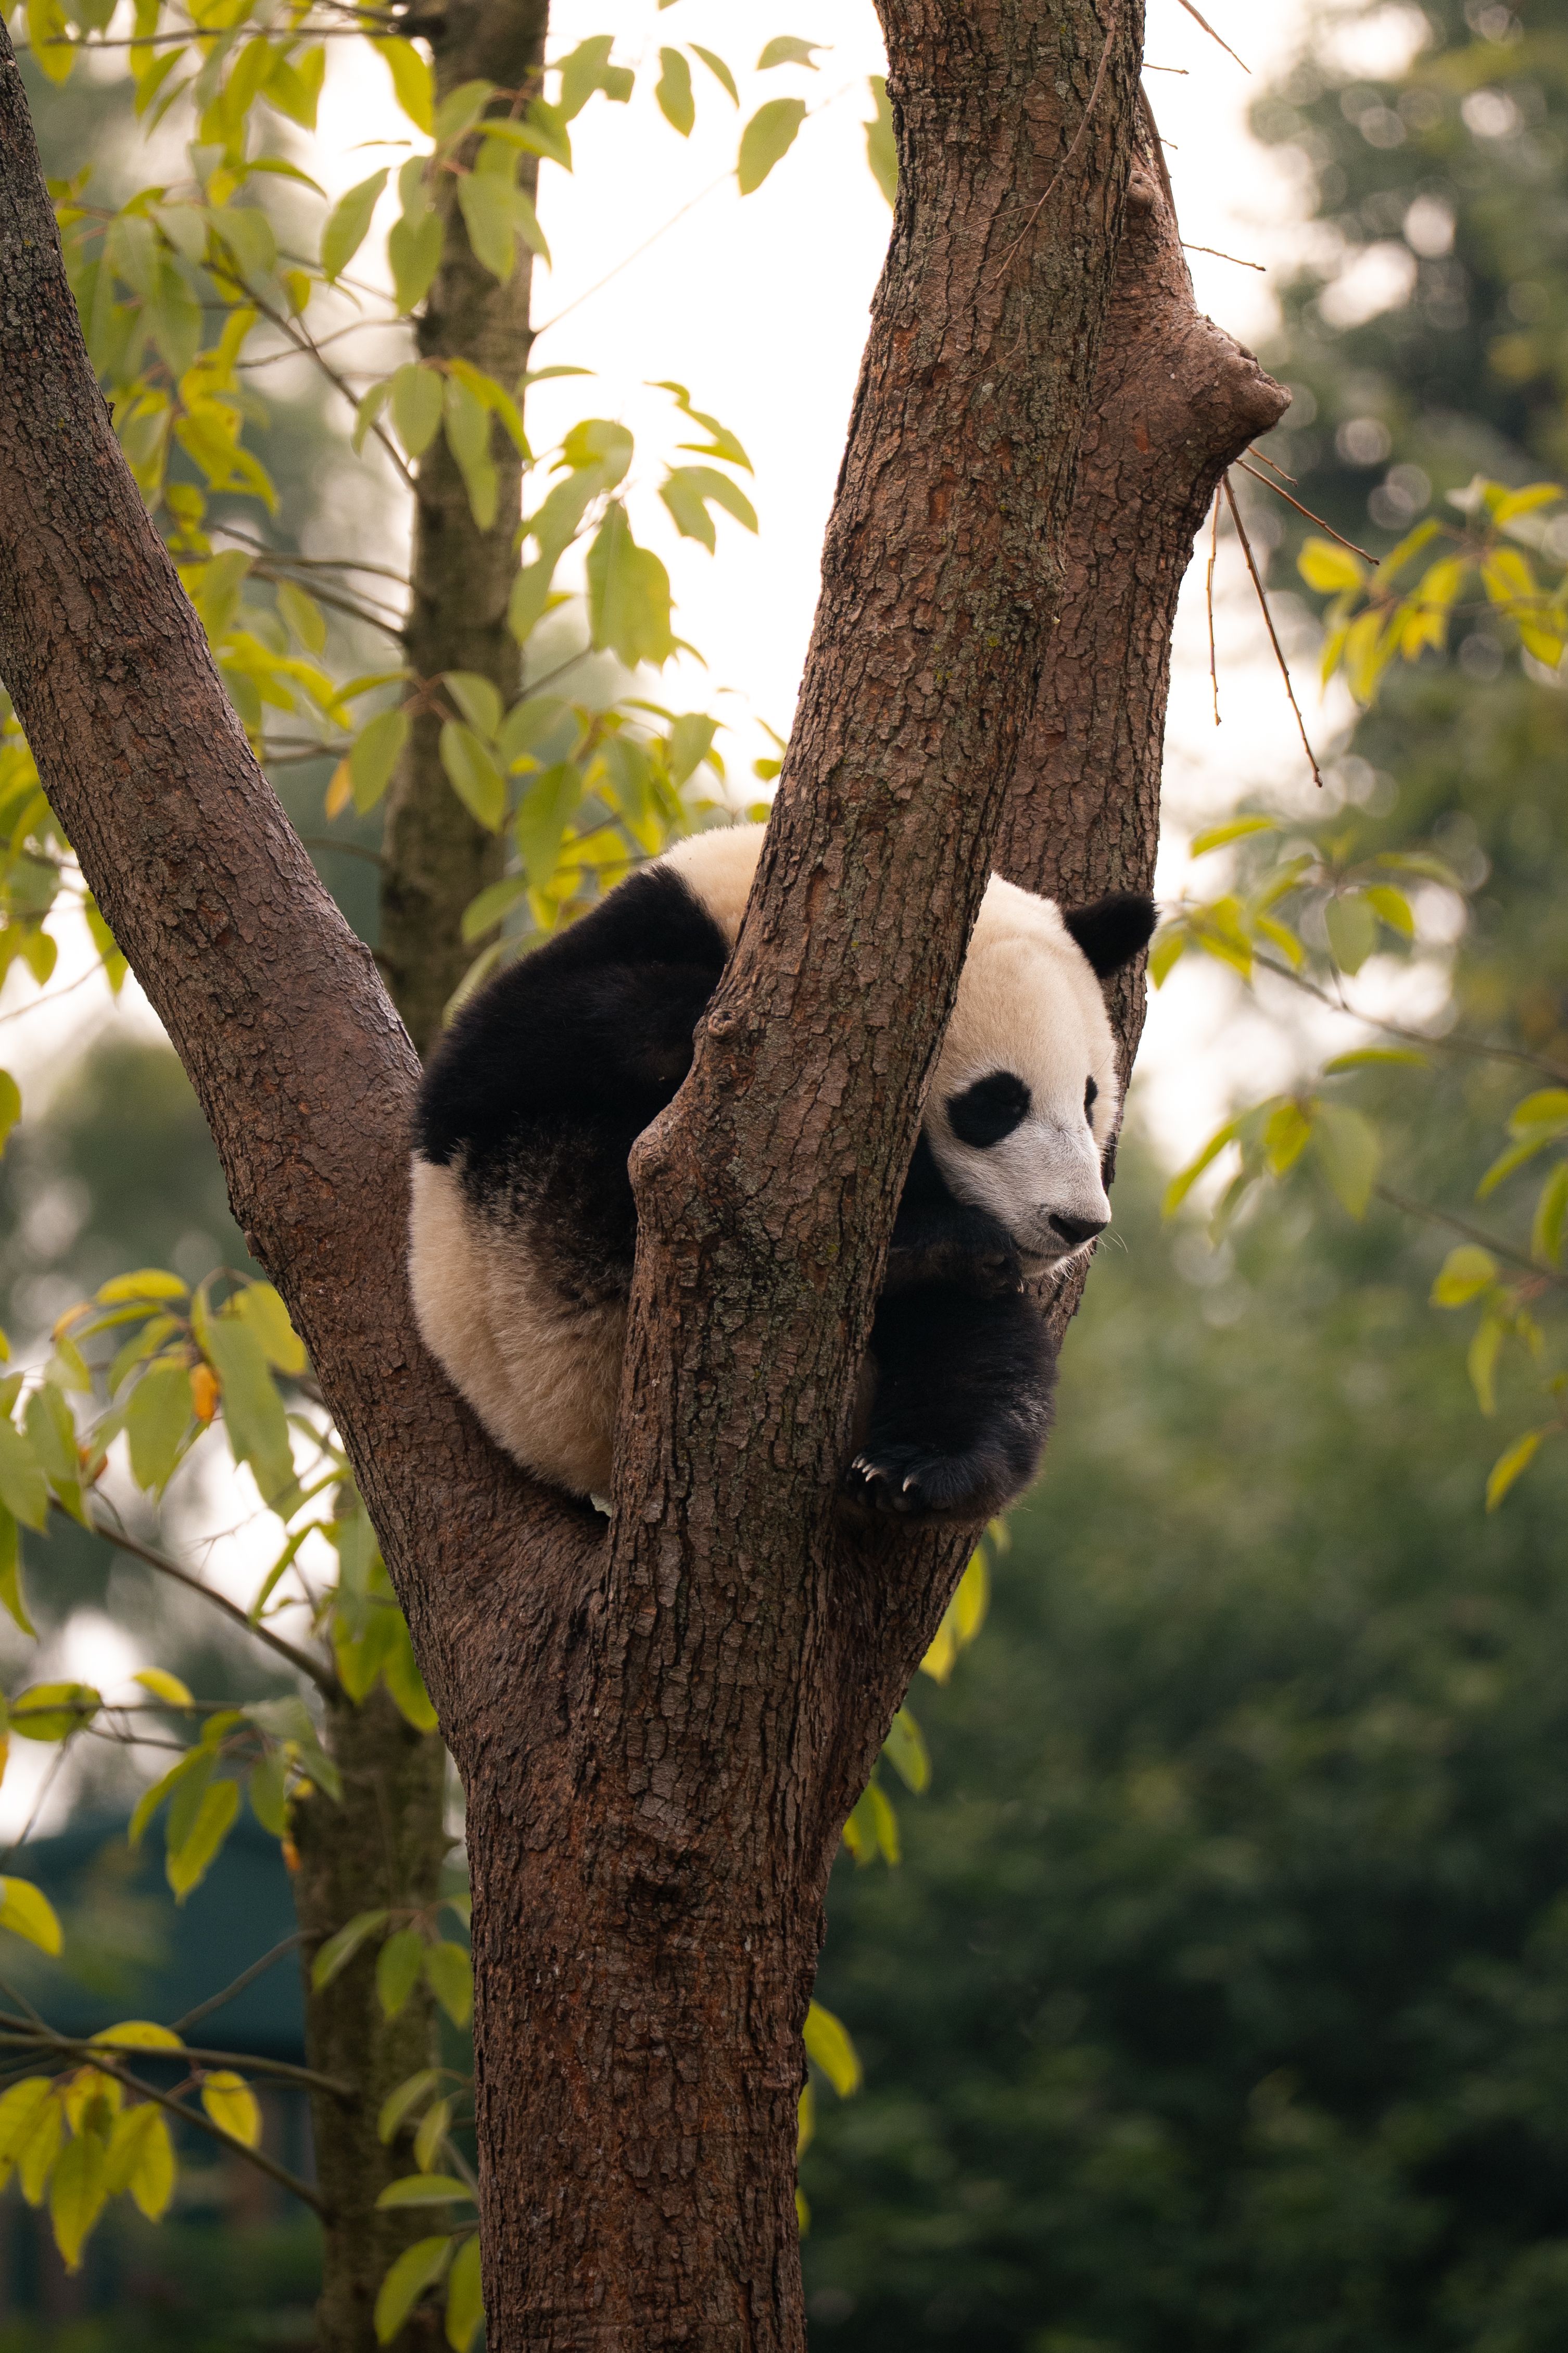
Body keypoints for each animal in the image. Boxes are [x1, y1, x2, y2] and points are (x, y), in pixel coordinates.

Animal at [408, 822, 1154, 1519]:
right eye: (996, 1102)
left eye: (1090, 1098)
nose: (1077, 1222)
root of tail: (577, 1451)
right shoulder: (635, 932)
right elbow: (491, 1057)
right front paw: (701, 1019)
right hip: (526, 1261)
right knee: (629, 1184)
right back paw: (926, 1246)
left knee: (980, 1349)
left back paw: (921, 1467)